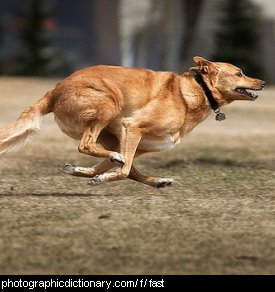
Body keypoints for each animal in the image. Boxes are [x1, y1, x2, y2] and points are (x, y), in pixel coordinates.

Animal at [0, 57, 268, 188]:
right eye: (239, 73)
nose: (263, 82)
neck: (194, 91)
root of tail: (54, 91)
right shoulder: (132, 127)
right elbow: (124, 169)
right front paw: (101, 178)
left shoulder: (135, 142)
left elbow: (122, 169)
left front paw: (89, 174)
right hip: (108, 104)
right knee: (87, 146)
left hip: (113, 135)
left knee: (115, 161)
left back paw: (155, 181)